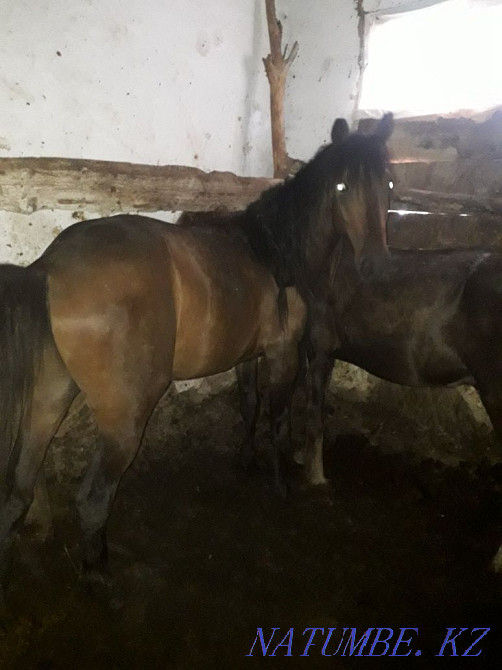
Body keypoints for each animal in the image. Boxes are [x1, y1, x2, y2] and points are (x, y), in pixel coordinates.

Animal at [0, 114, 393, 603]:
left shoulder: (248, 356)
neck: (275, 252)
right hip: (124, 418)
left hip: (47, 404)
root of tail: (48, 267)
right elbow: (279, 419)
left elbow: (248, 407)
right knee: (92, 498)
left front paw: (246, 461)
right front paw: (281, 483)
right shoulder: (283, 354)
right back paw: (97, 573)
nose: (377, 265)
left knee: (18, 493)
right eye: (341, 186)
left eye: (388, 182)